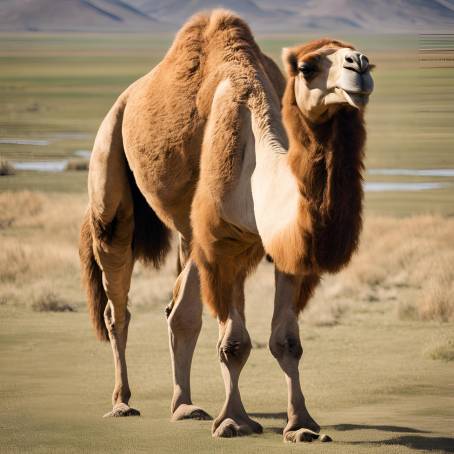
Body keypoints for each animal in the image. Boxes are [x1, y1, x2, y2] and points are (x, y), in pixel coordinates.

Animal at [80, 9, 374, 444]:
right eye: (307, 67)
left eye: (366, 60)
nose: (360, 65)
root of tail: (131, 93)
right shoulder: (225, 244)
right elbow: (234, 343)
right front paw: (234, 421)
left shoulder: (286, 242)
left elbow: (287, 341)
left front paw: (302, 425)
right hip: (110, 155)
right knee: (118, 298)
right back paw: (122, 402)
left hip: (190, 232)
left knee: (179, 309)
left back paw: (184, 405)